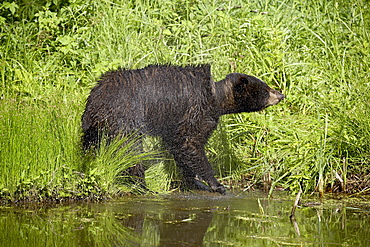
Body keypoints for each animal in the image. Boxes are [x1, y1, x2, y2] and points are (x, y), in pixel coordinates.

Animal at [81, 64, 284, 195]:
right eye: (266, 89)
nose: (281, 94)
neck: (215, 99)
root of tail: (97, 100)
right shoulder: (195, 111)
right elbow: (189, 143)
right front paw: (216, 184)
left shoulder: (174, 122)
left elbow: (178, 147)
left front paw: (193, 181)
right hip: (126, 117)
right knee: (131, 150)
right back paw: (142, 186)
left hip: (93, 127)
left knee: (90, 145)